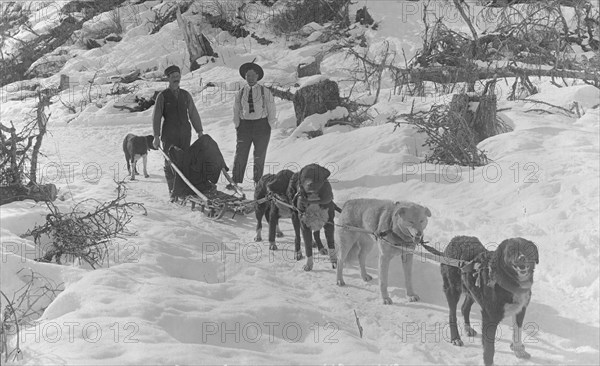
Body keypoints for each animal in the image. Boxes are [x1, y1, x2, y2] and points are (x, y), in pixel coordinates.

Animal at [440, 236, 540, 366]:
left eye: (527, 248)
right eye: (512, 250)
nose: (522, 258)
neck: (509, 281)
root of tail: (455, 239)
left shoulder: (520, 309)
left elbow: (518, 331)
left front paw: (519, 351)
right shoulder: (489, 316)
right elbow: (489, 348)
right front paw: (489, 361)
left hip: (472, 290)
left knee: (464, 308)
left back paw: (468, 328)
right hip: (452, 289)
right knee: (452, 315)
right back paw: (455, 338)